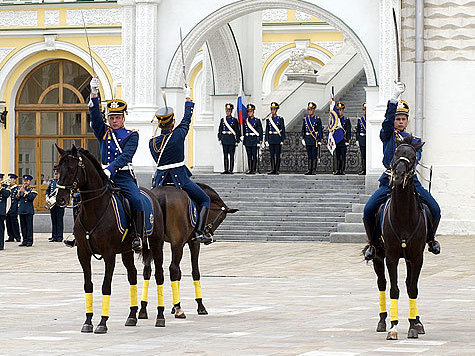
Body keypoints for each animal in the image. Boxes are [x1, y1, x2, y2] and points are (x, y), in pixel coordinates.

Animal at [54, 145, 166, 334]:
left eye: (71, 168)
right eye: (57, 168)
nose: (60, 198)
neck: (95, 209)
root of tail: (151, 194)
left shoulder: (109, 254)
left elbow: (106, 286)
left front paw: (102, 322)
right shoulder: (83, 254)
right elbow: (88, 285)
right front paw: (88, 321)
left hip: (156, 245)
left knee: (159, 275)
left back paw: (160, 316)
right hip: (127, 250)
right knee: (132, 275)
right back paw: (132, 316)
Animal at [138, 184, 238, 322]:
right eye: (221, 218)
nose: (208, 233)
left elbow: (179, 274)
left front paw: (174, 305)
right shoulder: (192, 243)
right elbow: (195, 272)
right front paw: (199, 306)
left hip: (153, 241)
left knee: (148, 269)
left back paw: (143, 309)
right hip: (176, 243)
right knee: (173, 269)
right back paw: (179, 310)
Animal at [372, 135, 428, 340]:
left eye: (412, 157)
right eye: (396, 153)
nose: (397, 175)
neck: (403, 215)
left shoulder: (417, 257)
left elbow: (412, 288)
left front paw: (413, 325)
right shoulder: (391, 257)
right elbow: (393, 289)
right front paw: (393, 327)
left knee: (409, 283)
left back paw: (418, 321)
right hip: (378, 257)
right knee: (381, 283)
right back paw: (382, 321)